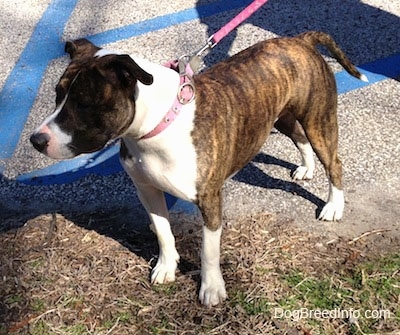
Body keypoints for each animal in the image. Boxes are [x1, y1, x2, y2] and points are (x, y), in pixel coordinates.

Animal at [30, 31, 366, 308]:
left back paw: (334, 205)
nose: (36, 140)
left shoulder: (209, 201)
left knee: (333, 162)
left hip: (319, 119)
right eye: (57, 94)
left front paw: (212, 289)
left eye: (84, 103)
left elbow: (208, 250)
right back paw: (306, 168)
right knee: (299, 136)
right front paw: (166, 267)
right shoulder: (147, 190)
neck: (157, 125)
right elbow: (163, 232)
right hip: (281, 115)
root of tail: (300, 40)